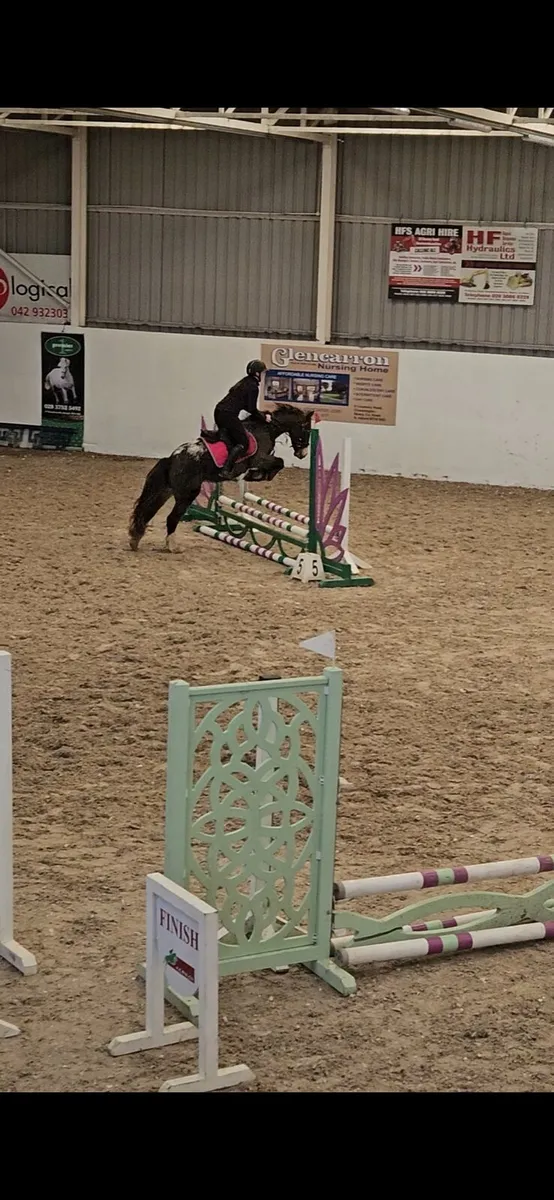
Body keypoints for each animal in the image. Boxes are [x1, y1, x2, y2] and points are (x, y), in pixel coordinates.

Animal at [128, 403, 313, 552]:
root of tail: (172, 459)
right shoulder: (260, 458)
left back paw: (135, 540)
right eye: (307, 430)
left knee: (148, 511)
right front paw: (257, 475)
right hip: (188, 494)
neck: (266, 429)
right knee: (171, 517)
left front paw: (256, 475)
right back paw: (173, 547)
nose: (302, 454)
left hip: (165, 491)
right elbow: (279, 462)